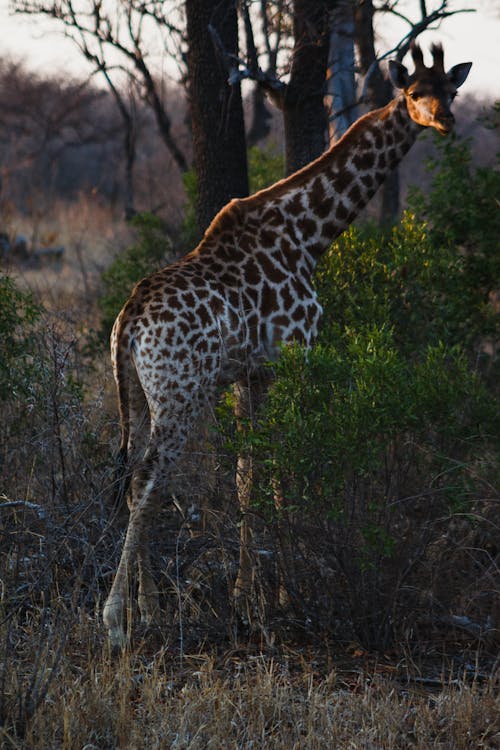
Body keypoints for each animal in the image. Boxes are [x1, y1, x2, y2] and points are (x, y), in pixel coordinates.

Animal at [103, 44, 470, 648]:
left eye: (452, 89)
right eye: (416, 91)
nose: (446, 120)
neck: (310, 234)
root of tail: (129, 320)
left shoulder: (249, 373)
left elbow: (247, 475)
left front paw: (246, 599)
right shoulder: (296, 356)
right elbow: (282, 467)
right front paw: (276, 598)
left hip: (136, 391)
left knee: (135, 479)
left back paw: (148, 609)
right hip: (181, 393)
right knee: (151, 477)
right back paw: (117, 618)